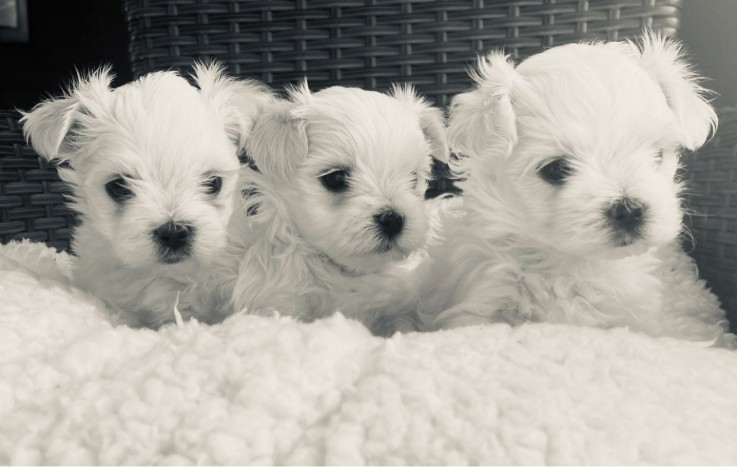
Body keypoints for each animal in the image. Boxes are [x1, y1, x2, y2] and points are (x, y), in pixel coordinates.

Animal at [221, 82, 446, 334]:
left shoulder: (396, 308)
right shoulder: (278, 301)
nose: (393, 219)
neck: (345, 273)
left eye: (413, 178)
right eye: (335, 179)